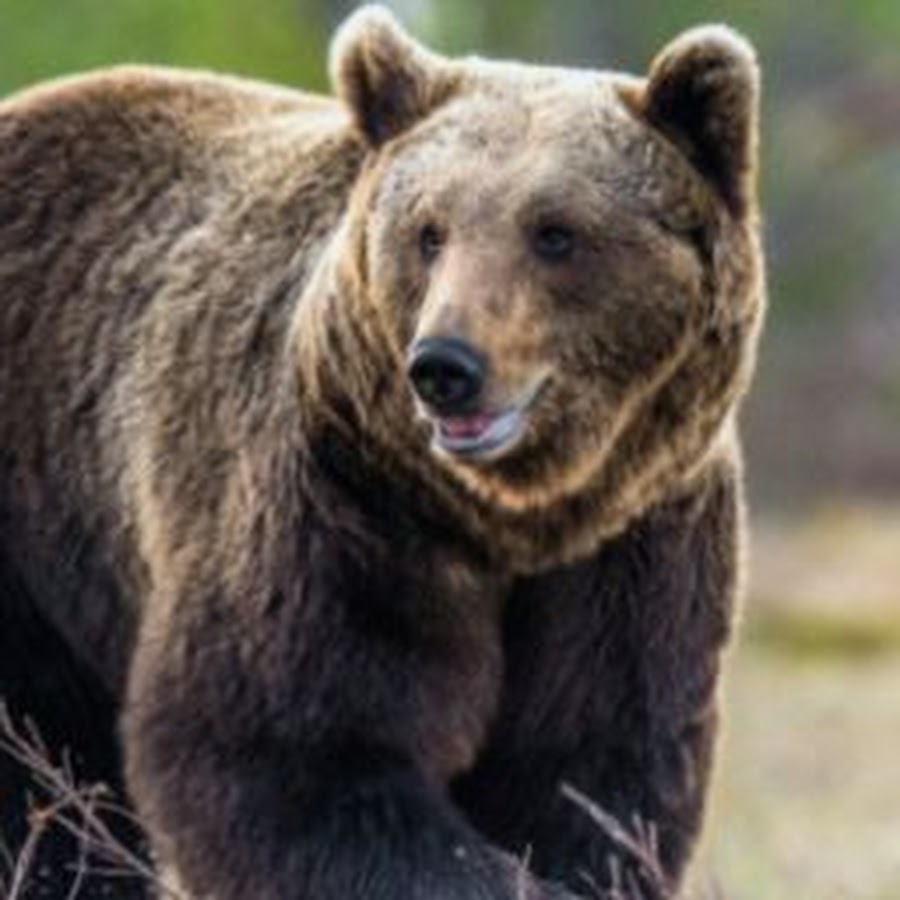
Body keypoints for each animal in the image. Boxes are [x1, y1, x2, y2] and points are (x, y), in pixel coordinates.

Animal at [0, 7, 764, 900]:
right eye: (430, 230)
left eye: (556, 233)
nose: (445, 367)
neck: (515, 517)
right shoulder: (345, 502)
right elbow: (302, 752)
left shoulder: (635, 541)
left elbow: (591, 769)